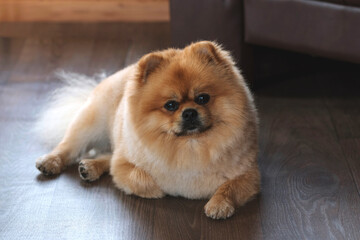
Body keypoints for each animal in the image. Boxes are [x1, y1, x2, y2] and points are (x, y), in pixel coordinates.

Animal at [35, 40, 260, 219]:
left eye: (203, 98)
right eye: (170, 105)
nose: (189, 112)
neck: (190, 145)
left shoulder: (250, 175)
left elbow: (229, 187)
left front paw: (219, 204)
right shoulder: (124, 165)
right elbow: (141, 178)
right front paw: (160, 191)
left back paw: (90, 167)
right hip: (90, 123)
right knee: (69, 146)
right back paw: (51, 162)